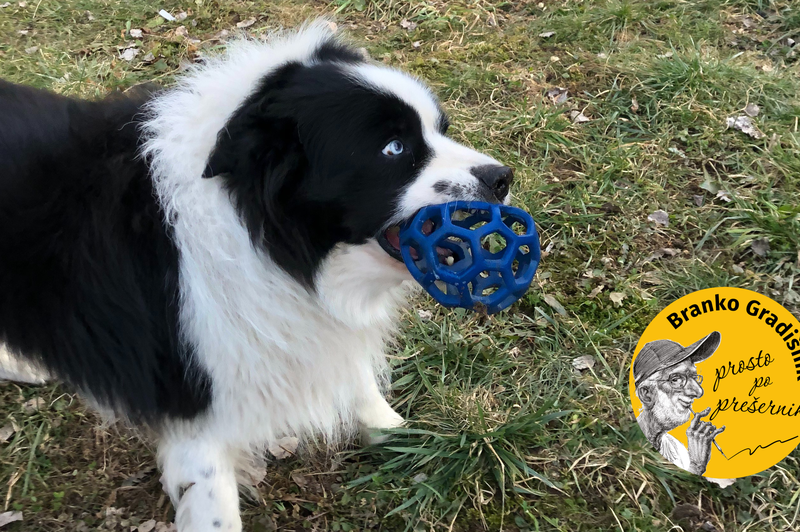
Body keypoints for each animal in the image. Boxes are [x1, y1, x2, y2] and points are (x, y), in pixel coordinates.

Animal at [0, 18, 512, 528]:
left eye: (441, 129)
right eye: (394, 148)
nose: (502, 178)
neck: (258, 233)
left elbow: (358, 380)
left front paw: (404, 440)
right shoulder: (198, 412)